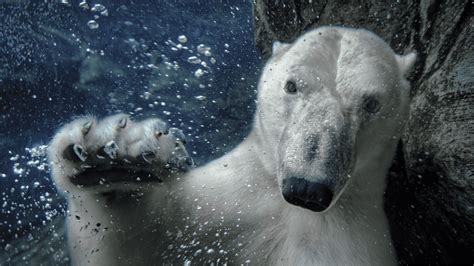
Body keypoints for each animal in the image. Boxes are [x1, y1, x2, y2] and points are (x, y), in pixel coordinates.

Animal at [48, 27, 416, 266]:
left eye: (371, 103)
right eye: (292, 86)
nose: (306, 189)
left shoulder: (349, 242)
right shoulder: (226, 202)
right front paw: (115, 155)